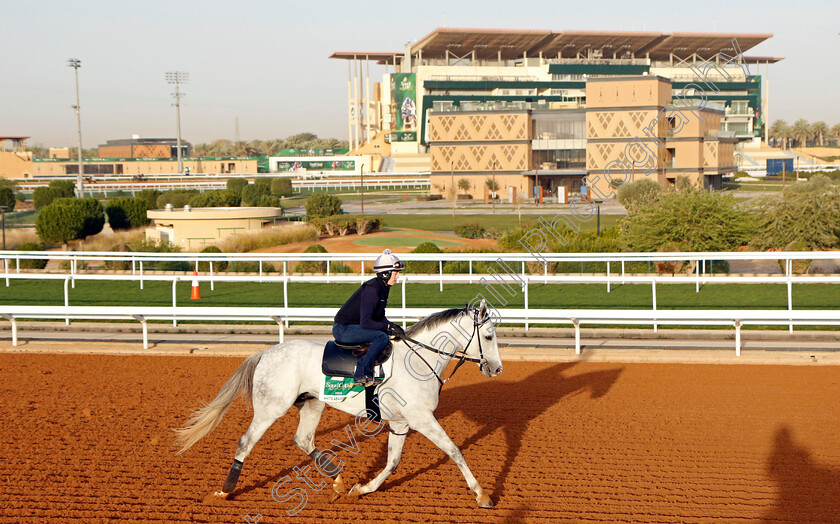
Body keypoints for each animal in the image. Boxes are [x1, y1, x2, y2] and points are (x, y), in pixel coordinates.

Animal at [176, 298, 502, 508]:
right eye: (488, 336)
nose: (497, 369)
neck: (419, 360)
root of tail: (265, 353)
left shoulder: (400, 422)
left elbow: (393, 462)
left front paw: (362, 489)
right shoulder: (421, 418)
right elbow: (454, 451)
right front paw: (482, 494)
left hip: (312, 404)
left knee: (303, 440)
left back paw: (338, 480)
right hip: (271, 409)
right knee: (246, 441)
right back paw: (225, 491)